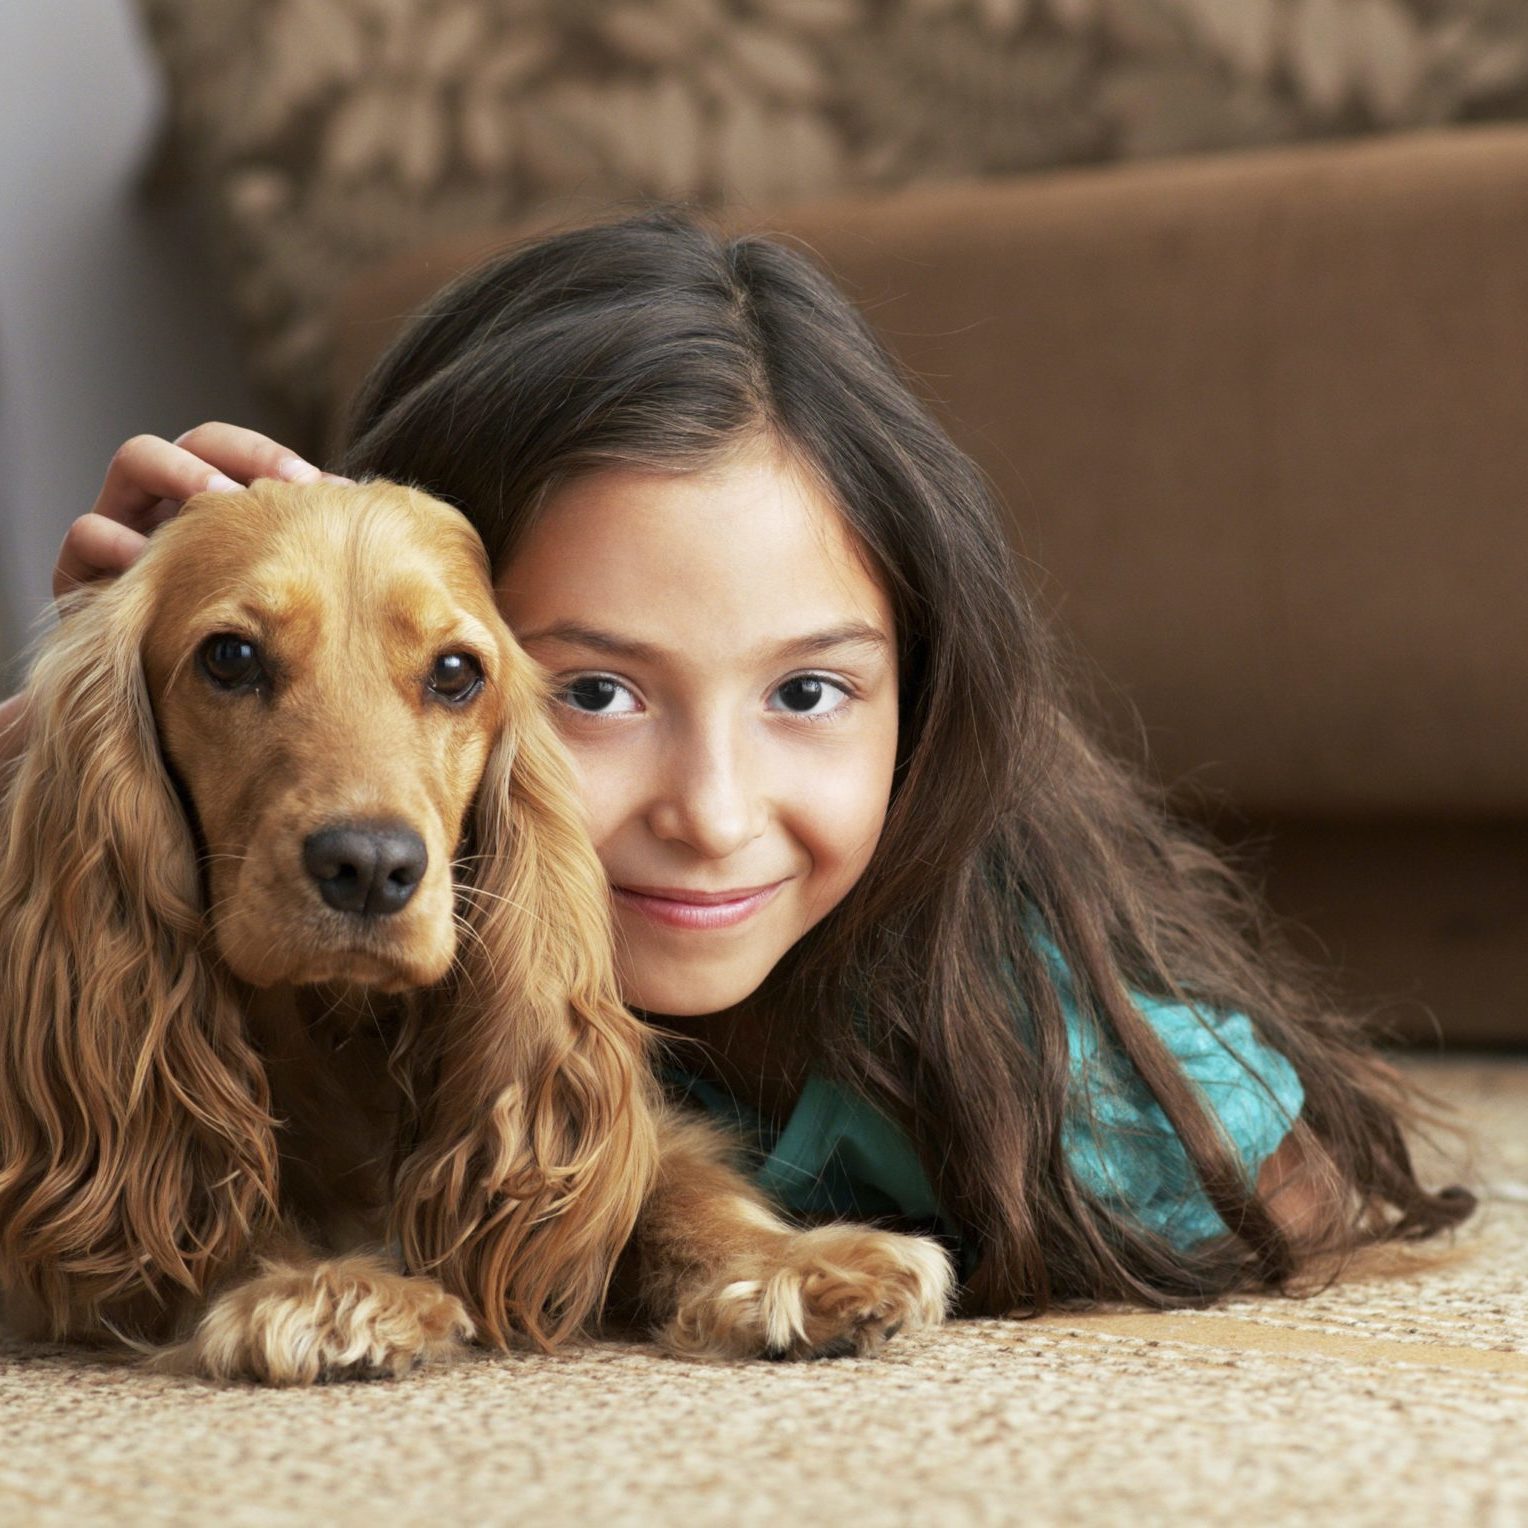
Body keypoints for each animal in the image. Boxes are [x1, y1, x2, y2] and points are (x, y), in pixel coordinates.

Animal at [0, 479, 947, 1387]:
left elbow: (669, 1183)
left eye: (455, 671)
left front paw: (790, 1264)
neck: (337, 1026)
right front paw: (323, 1289)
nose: (370, 865)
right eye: (230, 658)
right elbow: (199, 1198)